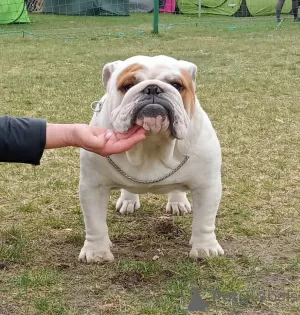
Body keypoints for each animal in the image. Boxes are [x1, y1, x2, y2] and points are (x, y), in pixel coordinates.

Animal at [78, 55, 224, 264]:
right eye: (127, 85)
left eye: (177, 85)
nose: (153, 88)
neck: (151, 143)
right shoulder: (93, 187)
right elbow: (94, 223)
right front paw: (96, 252)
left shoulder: (207, 186)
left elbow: (204, 221)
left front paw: (205, 248)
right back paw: (128, 201)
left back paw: (178, 203)